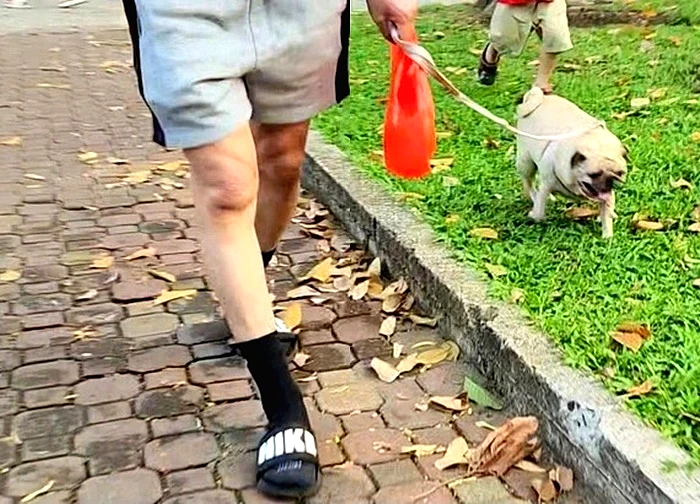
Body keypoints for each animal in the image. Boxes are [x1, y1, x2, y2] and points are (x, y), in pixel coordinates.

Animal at [516, 87, 628, 238]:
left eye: (620, 173)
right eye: (594, 174)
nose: (611, 180)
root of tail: (538, 97)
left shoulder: (607, 196)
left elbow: (606, 216)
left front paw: (607, 237)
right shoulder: (546, 185)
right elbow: (540, 210)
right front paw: (535, 215)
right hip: (526, 161)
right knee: (528, 182)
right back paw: (533, 196)